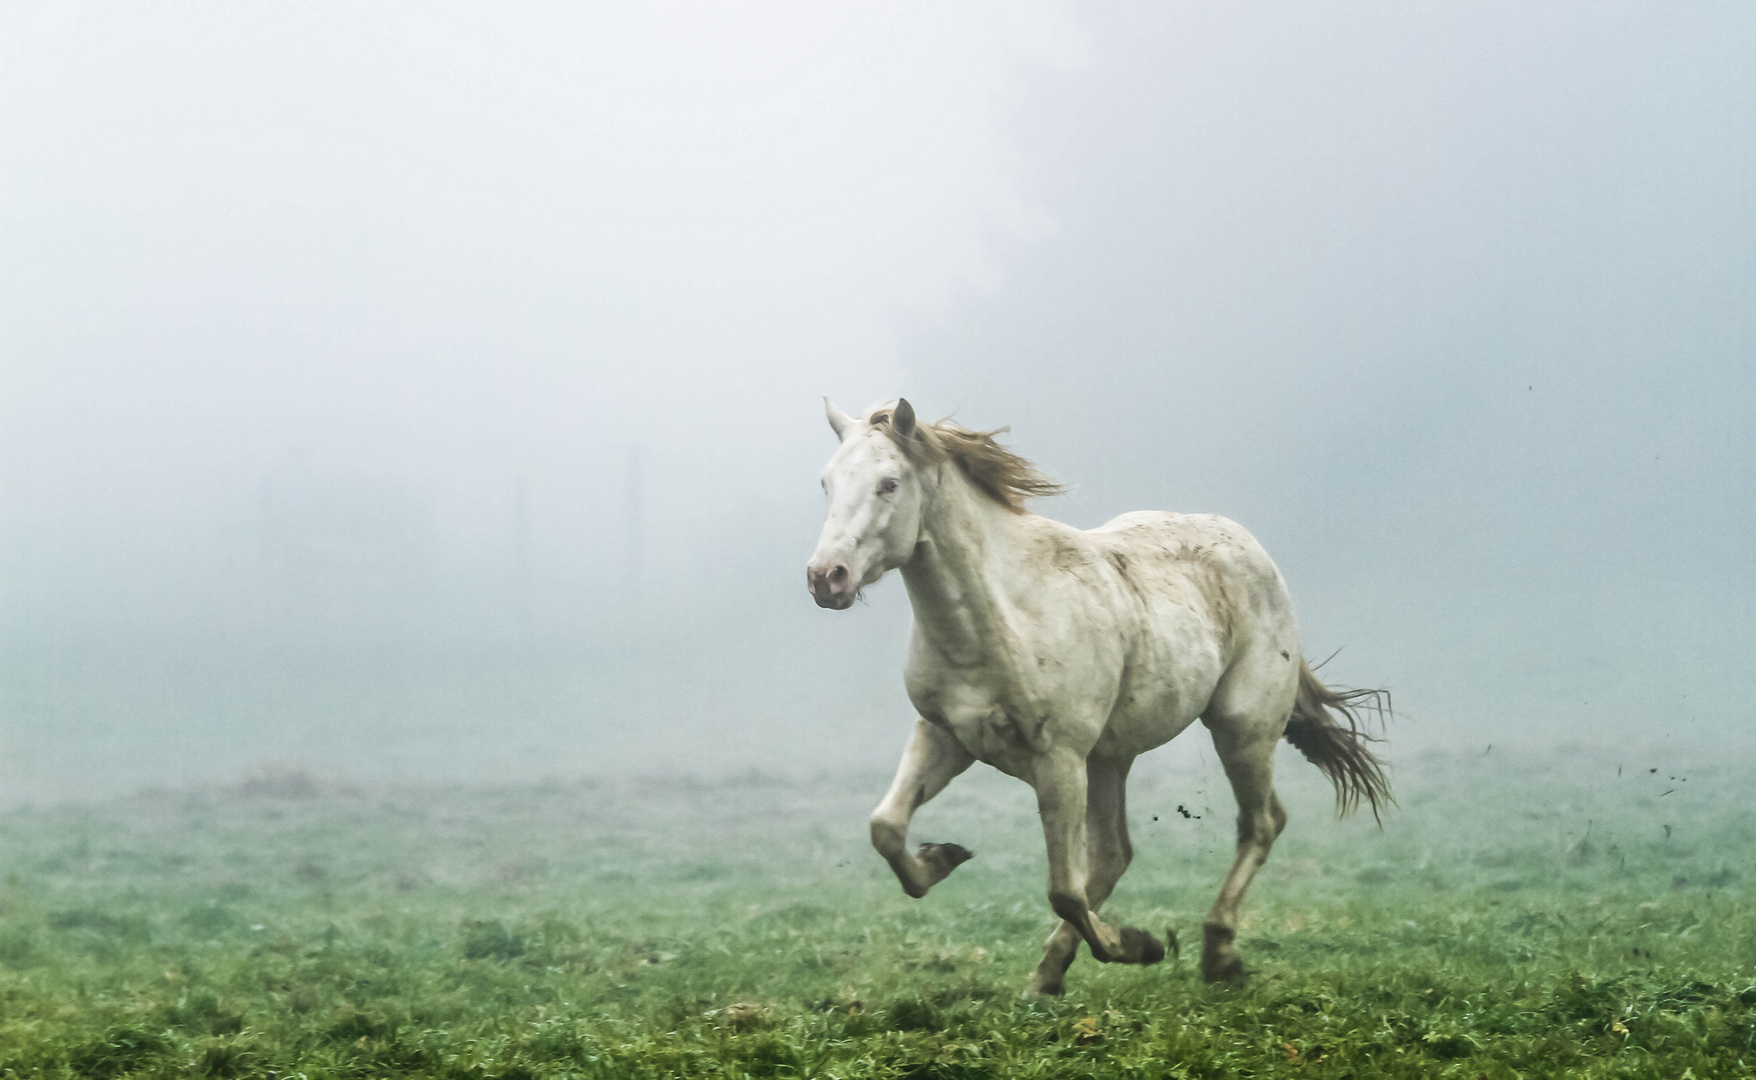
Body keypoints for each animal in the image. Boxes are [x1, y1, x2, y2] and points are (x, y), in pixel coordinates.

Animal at [804, 398, 1390, 997]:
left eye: (889, 483)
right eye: (827, 482)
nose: (827, 578)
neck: (1002, 617)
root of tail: (1249, 547)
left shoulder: (1058, 758)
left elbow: (1064, 889)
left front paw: (1137, 945)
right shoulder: (944, 736)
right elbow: (886, 828)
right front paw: (942, 857)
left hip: (1240, 732)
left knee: (1260, 824)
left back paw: (1218, 952)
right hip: (1110, 757)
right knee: (1116, 854)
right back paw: (1049, 974)